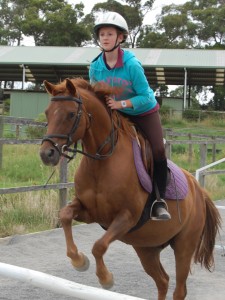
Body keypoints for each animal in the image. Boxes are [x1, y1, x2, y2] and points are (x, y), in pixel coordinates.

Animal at [39, 78, 221, 300]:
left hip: (184, 246)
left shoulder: (126, 217)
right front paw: (79, 261)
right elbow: (65, 215)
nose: (46, 154)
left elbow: (99, 246)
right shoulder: (89, 212)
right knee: (162, 280)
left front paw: (105, 279)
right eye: (47, 112)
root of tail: (199, 192)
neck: (102, 163)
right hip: (146, 248)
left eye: (71, 114)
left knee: (179, 289)